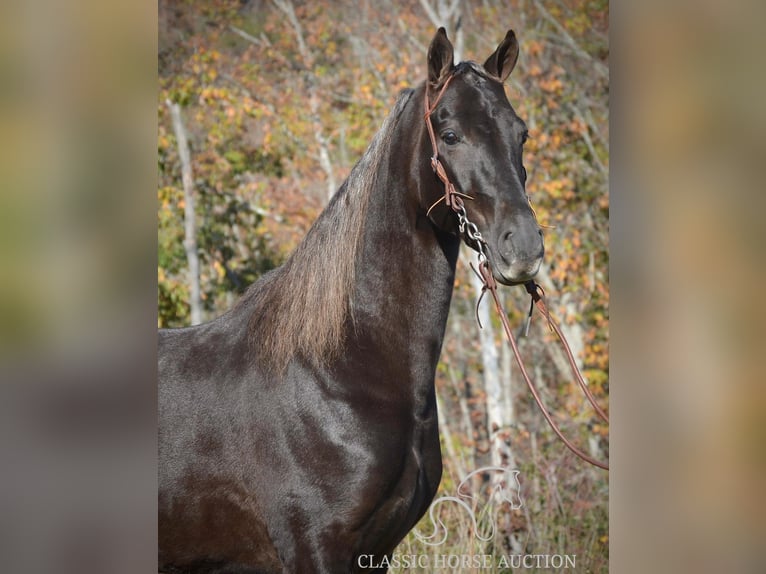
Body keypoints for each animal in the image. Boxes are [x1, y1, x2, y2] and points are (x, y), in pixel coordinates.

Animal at [160, 28, 544, 574]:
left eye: (521, 133)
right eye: (450, 135)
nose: (525, 248)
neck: (337, 371)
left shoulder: (377, 550)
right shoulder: (316, 547)